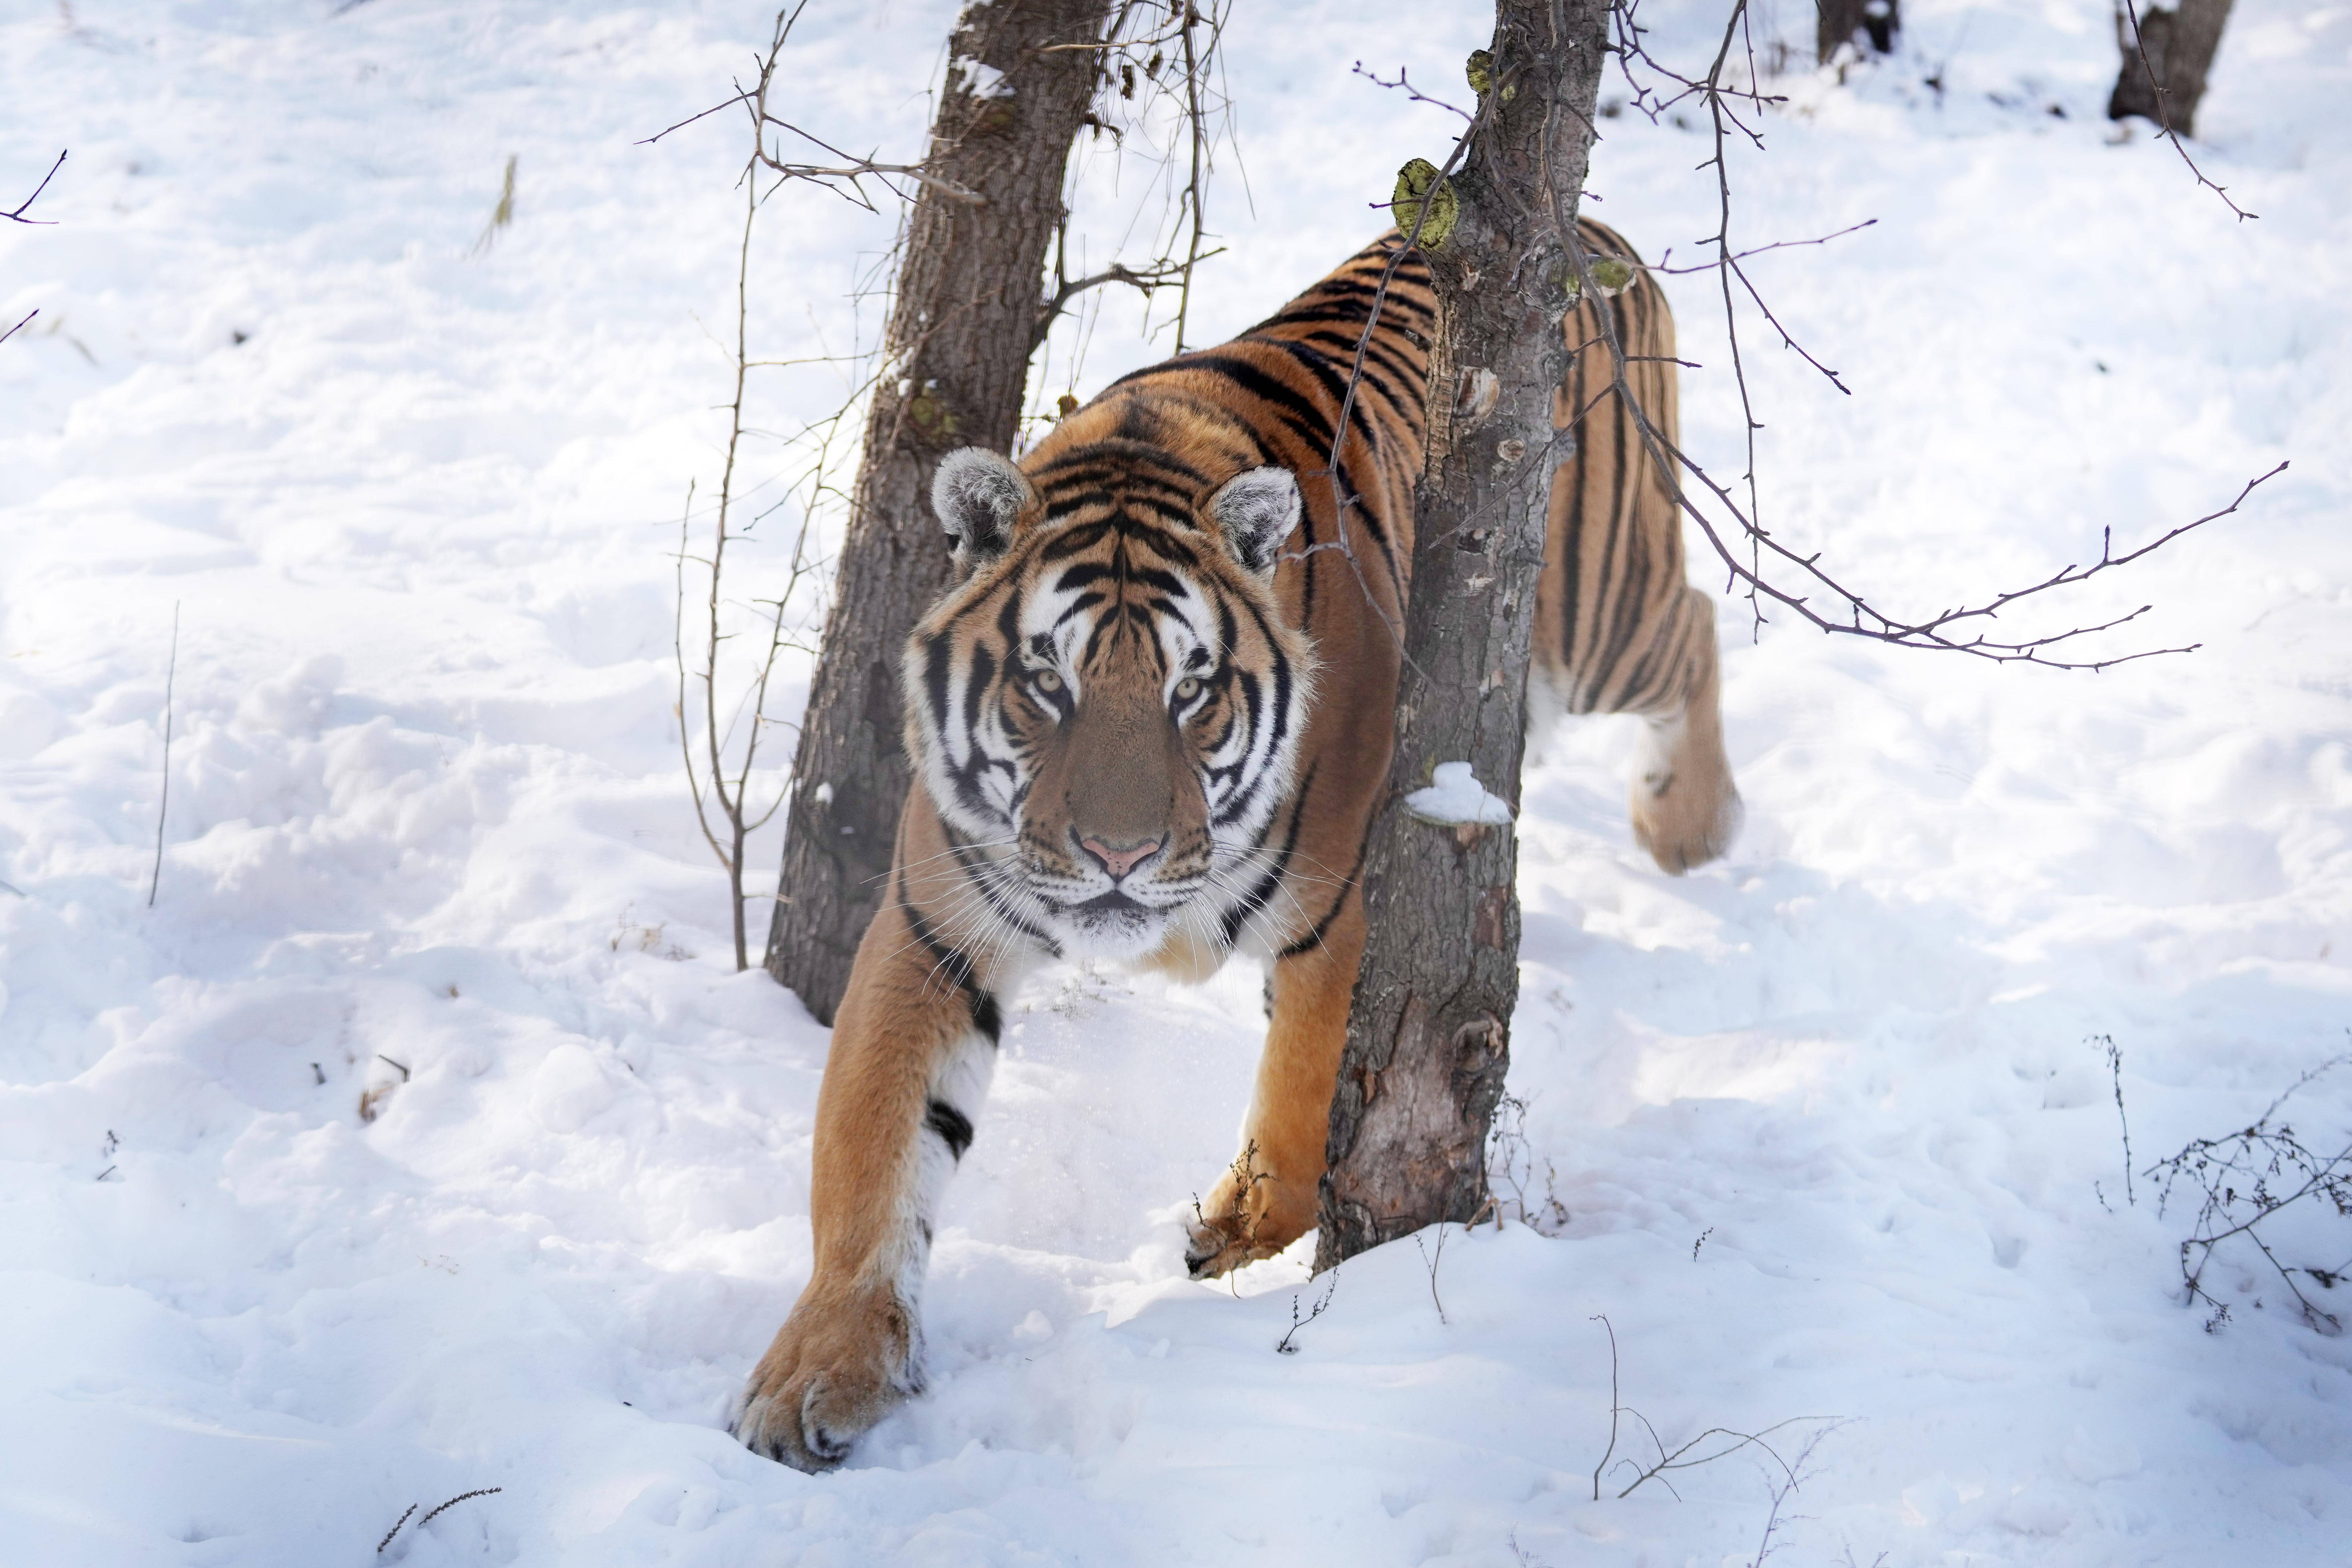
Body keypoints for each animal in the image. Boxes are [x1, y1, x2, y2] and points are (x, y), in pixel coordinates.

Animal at [734, 221, 1750, 1476]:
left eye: (1193, 687)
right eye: (1045, 680)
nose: (1118, 855)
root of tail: (1600, 241)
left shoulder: (1347, 904)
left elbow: (1307, 1106)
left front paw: (1225, 1232)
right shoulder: (937, 928)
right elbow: (871, 1155)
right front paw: (817, 1372)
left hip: (1598, 624)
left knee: (1696, 624)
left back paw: (1687, 828)